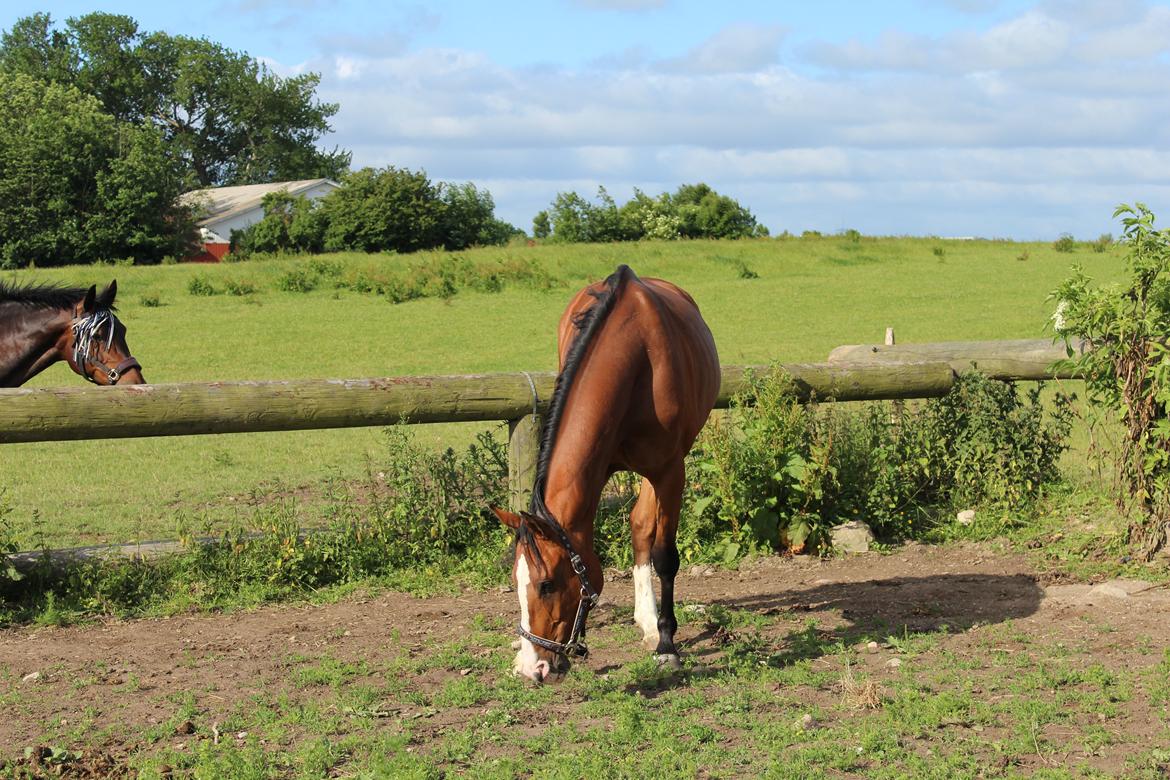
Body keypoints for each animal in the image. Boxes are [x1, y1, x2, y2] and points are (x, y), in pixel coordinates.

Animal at [489, 266, 716, 682]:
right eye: (515, 581)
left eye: (547, 585)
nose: (532, 668)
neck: (635, 358)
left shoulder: (670, 470)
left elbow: (665, 556)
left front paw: (667, 645)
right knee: (639, 523)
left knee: (644, 528)